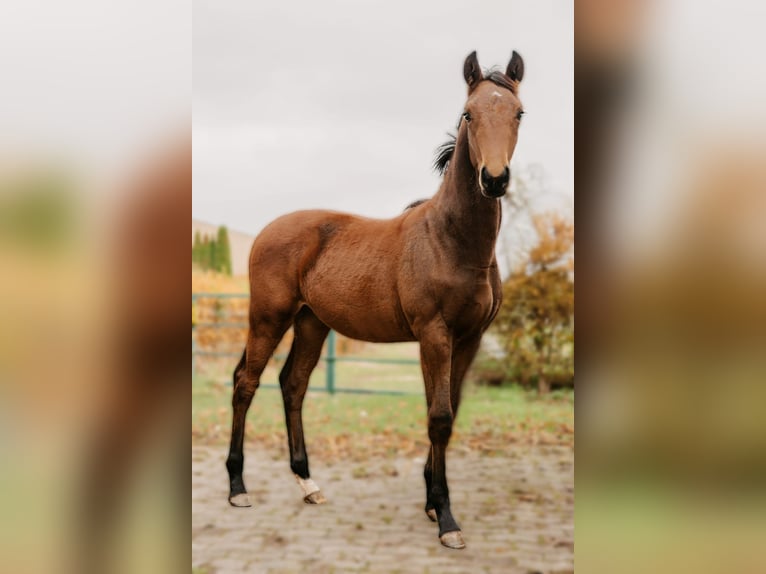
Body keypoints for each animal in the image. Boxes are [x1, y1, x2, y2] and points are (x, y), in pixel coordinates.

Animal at [228, 49, 524, 548]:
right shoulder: (434, 335)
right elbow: (439, 416)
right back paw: (237, 488)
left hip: (312, 322)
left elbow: (449, 411)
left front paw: (431, 502)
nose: (495, 179)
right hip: (269, 318)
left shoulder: (469, 339)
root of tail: (267, 230)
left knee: (293, 383)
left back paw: (308, 484)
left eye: (519, 112)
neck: (452, 241)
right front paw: (447, 519)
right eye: (469, 113)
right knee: (246, 383)